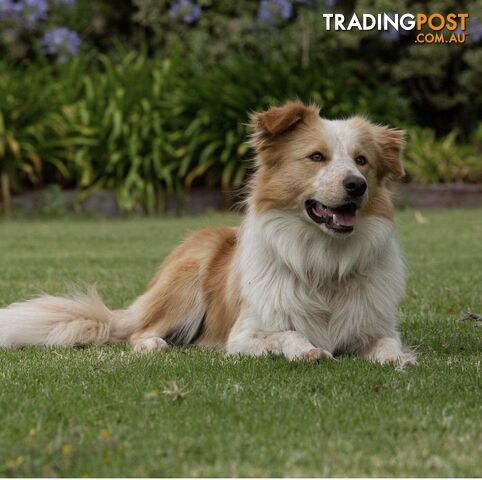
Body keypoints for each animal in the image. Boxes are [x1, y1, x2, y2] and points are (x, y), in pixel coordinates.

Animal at [0, 100, 414, 368]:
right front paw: (307, 349)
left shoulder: (374, 326)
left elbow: (387, 342)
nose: (356, 185)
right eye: (316, 157)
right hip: (186, 282)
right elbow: (287, 333)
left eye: (362, 161)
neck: (323, 260)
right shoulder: (244, 336)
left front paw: (398, 358)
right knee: (138, 333)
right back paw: (153, 343)